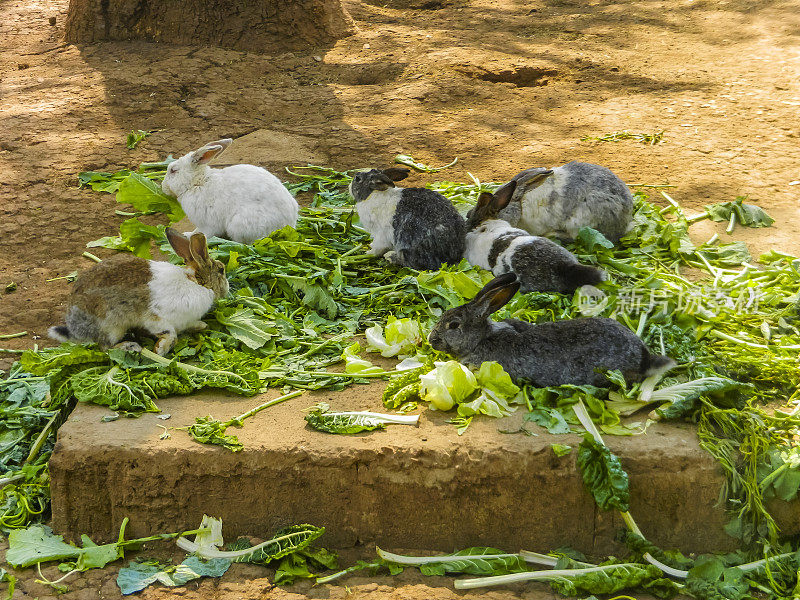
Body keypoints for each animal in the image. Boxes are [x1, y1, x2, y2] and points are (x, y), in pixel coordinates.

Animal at [49, 227, 228, 354]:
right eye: (221, 270)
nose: (227, 289)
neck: (196, 283)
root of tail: (74, 329)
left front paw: (201, 325)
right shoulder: (156, 318)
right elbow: (170, 333)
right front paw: (160, 350)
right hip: (112, 327)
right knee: (105, 347)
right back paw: (130, 346)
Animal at [161, 138, 298, 244]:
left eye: (173, 170)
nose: (163, 187)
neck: (197, 183)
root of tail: (288, 224)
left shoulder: (208, 224)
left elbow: (202, 233)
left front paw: (189, 237)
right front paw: (187, 234)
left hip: (239, 225)